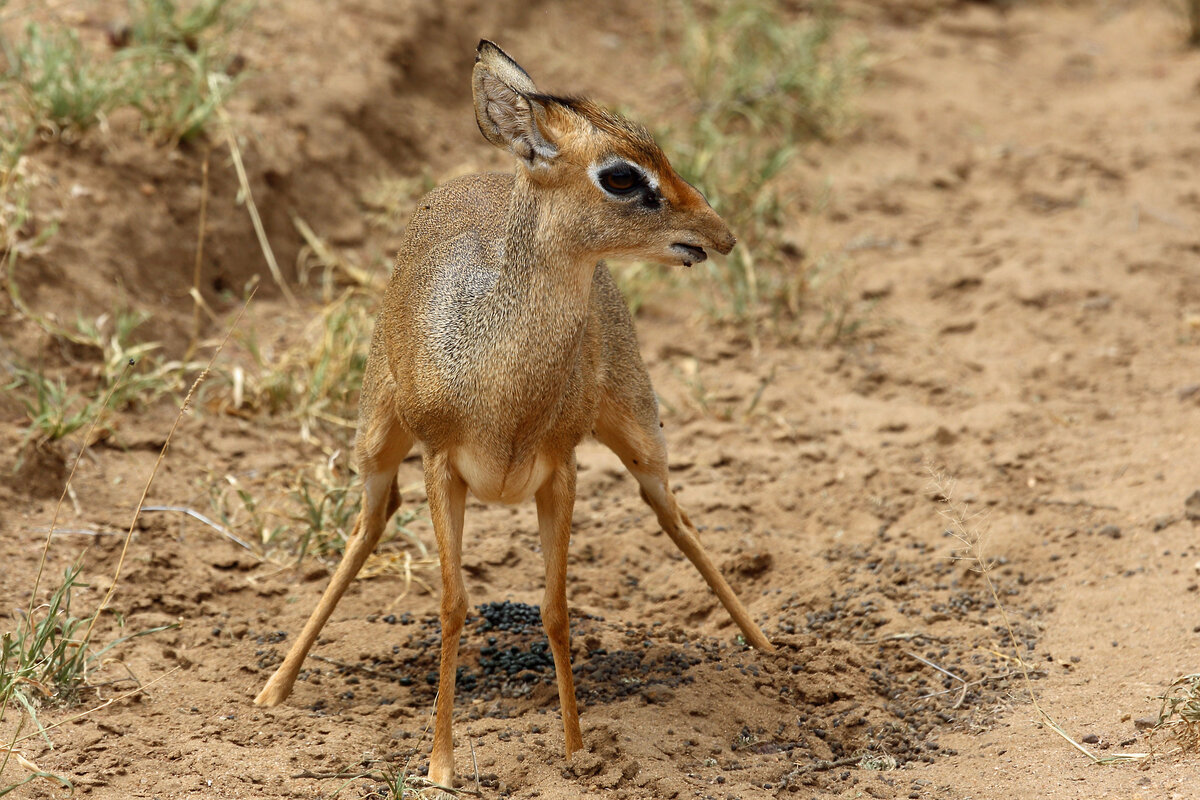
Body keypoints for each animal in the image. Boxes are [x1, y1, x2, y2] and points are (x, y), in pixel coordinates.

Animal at [256, 42, 772, 786]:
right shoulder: (443, 465)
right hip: (377, 437)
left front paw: (578, 751)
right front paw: (441, 764)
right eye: (622, 174)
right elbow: (452, 604)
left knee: (674, 515)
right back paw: (275, 687)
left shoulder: (561, 470)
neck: (503, 383)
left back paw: (768, 649)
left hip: (639, 430)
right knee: (368, 522)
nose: (719, 234)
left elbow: (555, 610)